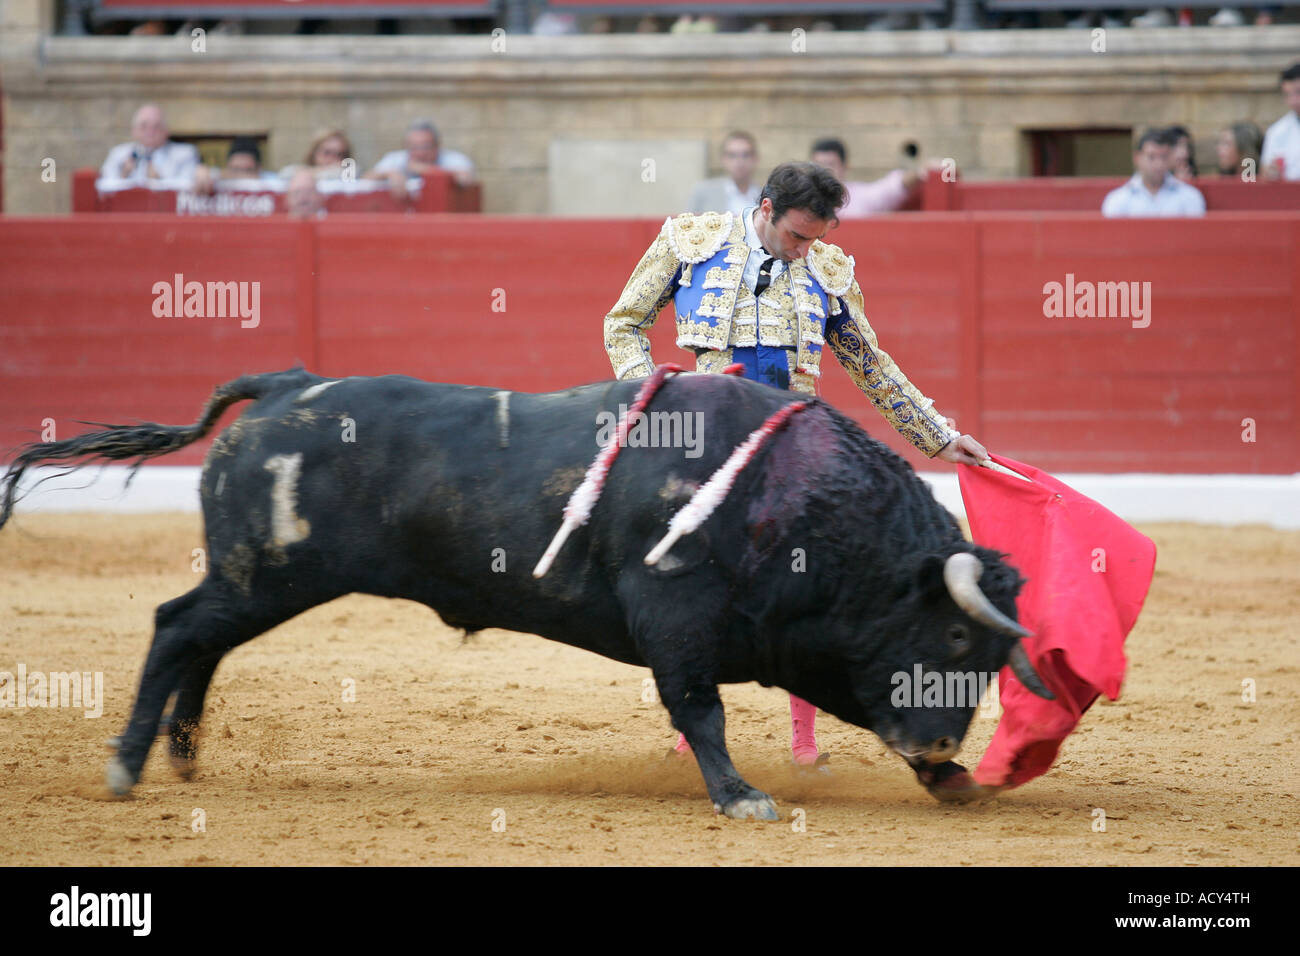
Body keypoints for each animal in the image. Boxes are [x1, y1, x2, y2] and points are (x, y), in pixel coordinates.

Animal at [0, 369, 1050, 816]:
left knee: (201, 639)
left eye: (1001, 658)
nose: (942, 750)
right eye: (960, 643)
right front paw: (741, 798)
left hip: (258, 579)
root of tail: (286, 386)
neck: (790, 499)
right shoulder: (674, 611)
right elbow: (699, 709)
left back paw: (179, 758)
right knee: (177, 626)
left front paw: (949, 781)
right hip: (268, 573)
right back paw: (128, 767)